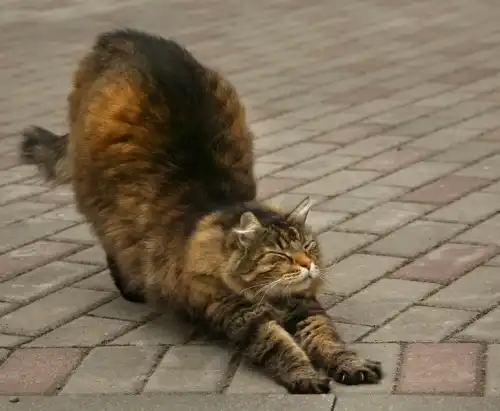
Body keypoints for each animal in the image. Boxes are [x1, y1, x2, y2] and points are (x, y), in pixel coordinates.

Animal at [20, 28, 382, 393]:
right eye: (280, 256)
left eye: (307, 247)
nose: (308, 265)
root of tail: (120, 36)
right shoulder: (239, 314)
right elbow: (279, 345)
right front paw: (304, 375)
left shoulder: (306, 307)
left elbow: (328, 338)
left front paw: (351, 364)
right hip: (102, 199)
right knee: (113, 240)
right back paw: (131, 287)